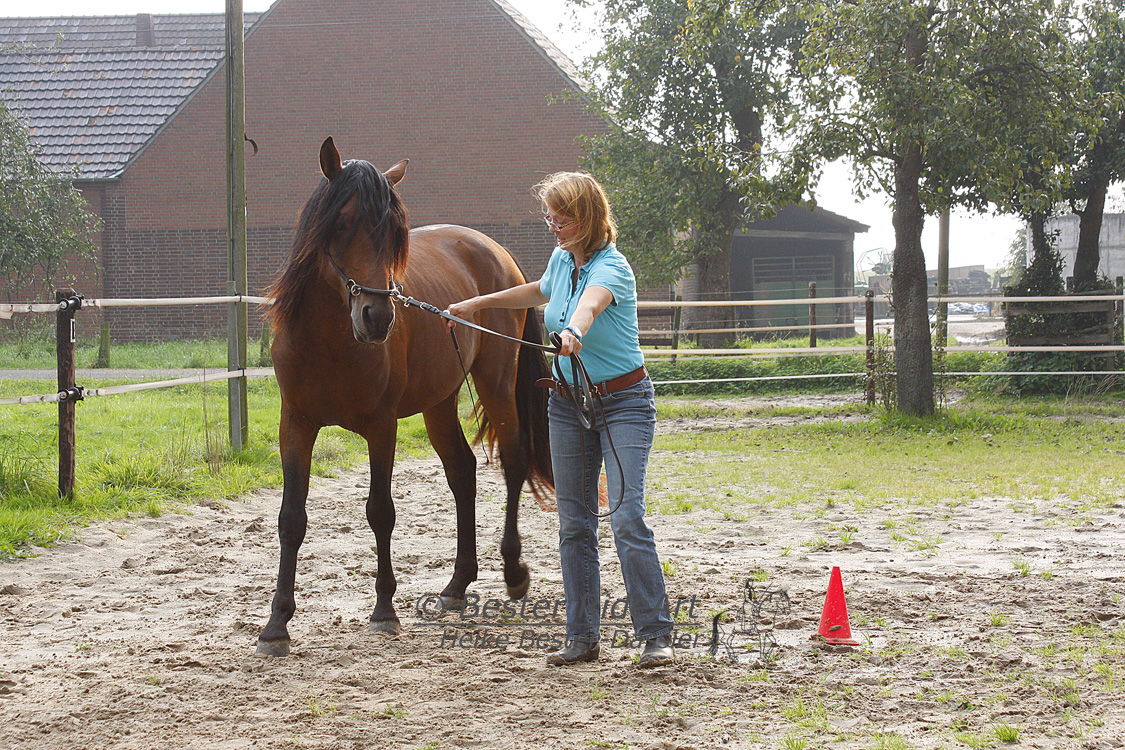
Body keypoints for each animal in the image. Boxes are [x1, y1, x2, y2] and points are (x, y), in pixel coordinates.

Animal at [256, 136, 553, 656]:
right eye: (342, 222)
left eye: (395, 232)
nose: (377, 317)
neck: (328, 340)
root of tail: (497, 251)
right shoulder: (295, 425)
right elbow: (291, 518)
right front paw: (276, 626)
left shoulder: (382, 427)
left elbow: (380, 512)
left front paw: (383, 610)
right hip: (439, 402)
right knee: (462, 472)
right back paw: (456, 586)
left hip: (497, 383)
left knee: (513, 462)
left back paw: (513, 572)